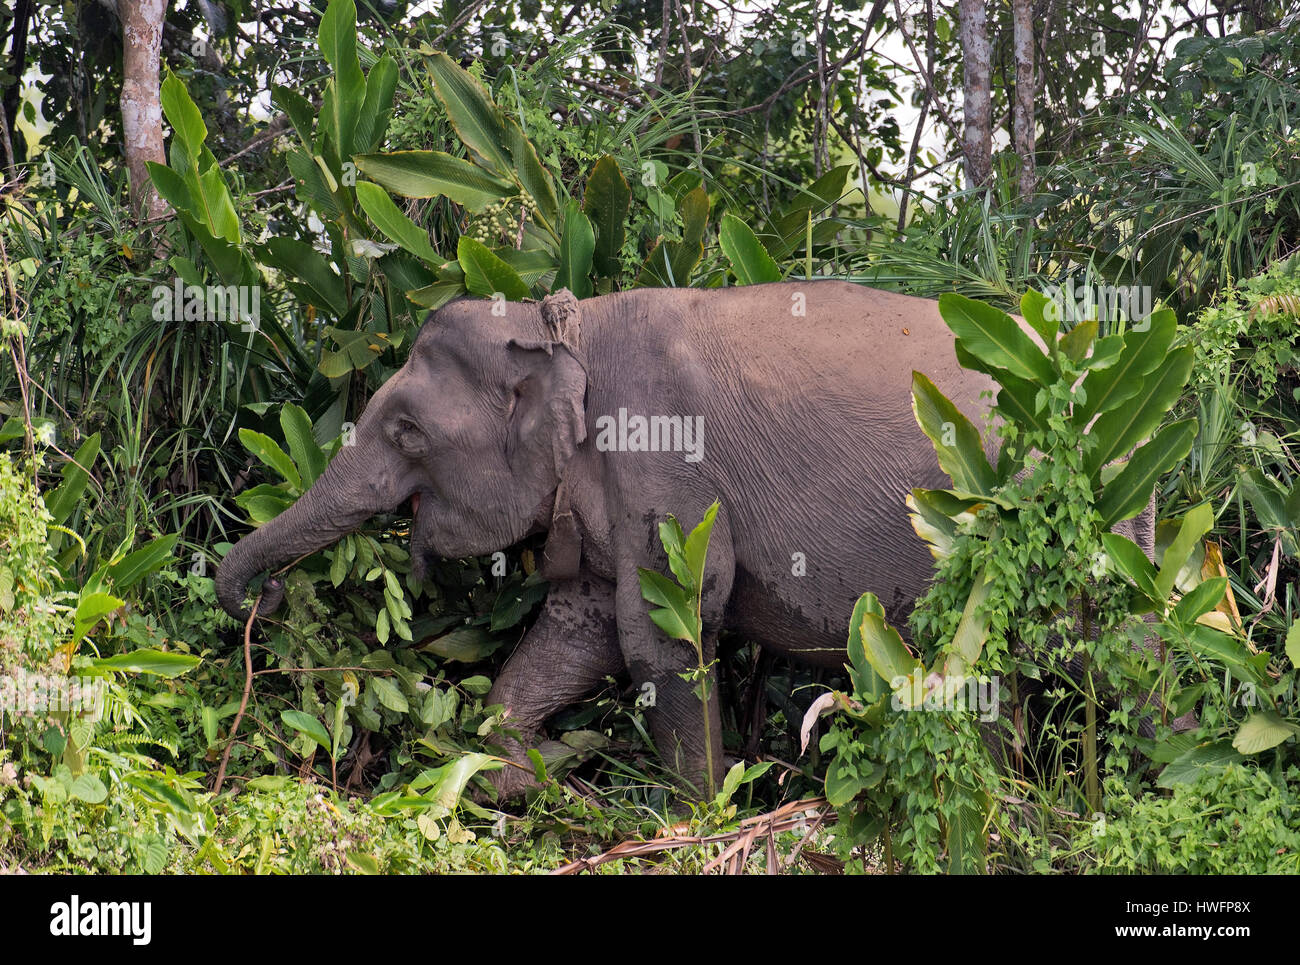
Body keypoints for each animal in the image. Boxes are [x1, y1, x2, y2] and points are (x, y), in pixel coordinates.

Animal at [215, 282, 1159, 801]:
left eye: (406, 430)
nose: (263, 597)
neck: (566, 329)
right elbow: (578, 629)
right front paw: (514, 771)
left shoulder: (662, 466)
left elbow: (663, 633)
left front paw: (698, 814)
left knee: (1113, 651)